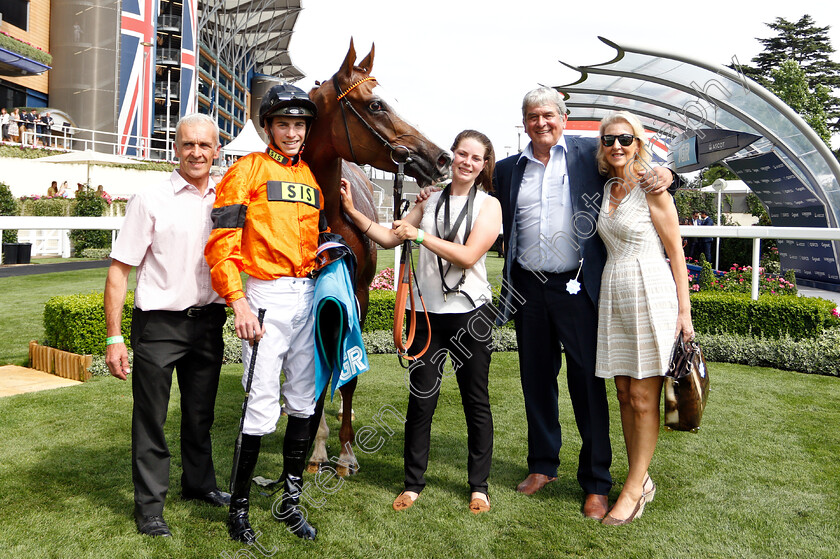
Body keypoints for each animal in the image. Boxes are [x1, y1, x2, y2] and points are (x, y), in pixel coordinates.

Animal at [300, 39, 450, 476]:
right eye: (377, 104)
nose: (441, 157)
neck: (329, 217)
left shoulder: (361, 296)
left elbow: (346, 376)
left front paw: (346, 452)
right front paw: (316, 450)